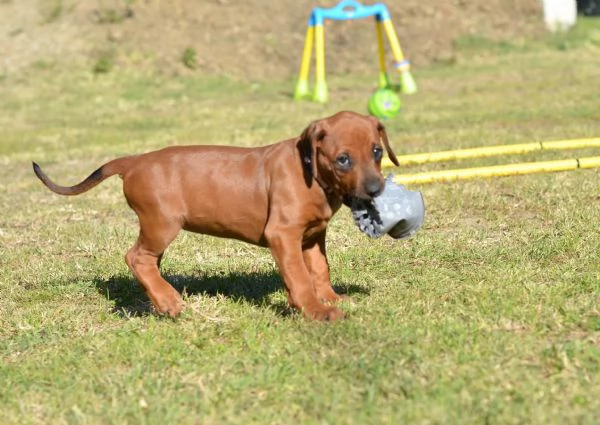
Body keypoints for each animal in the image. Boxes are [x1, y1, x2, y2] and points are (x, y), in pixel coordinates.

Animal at [31, 111, 398, 320]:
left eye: (377, 151)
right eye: (343, 160)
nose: (376, 190)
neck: (310, 171)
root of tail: (134, 161)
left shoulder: (312, 236)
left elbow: (320, 269)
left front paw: (330, 297)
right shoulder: (283, 235)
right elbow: (299, 277)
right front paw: (316, 310)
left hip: (155, 228)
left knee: (147, 263)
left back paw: (159, 300)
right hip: (161, 224)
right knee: (136, 257)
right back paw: (168, 301)